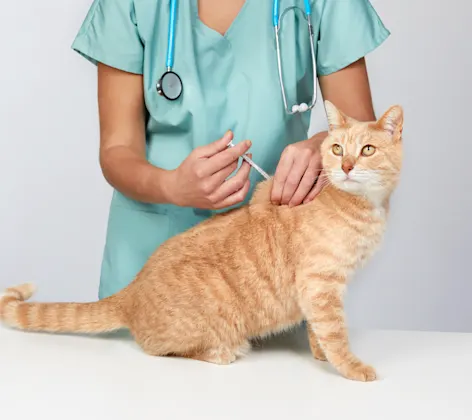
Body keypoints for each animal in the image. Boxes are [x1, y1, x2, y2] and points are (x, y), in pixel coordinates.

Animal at [1, 101, 404, 380]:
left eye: (367, 150)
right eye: (337, 149)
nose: (347, 166)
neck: (362, 206)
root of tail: (131, 290)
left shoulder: (323, 289)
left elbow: (319, 332)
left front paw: (319, 354)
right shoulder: (320, 286)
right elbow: (334, 332)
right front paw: (351, 367)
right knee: (158, 349)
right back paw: (223, 350)